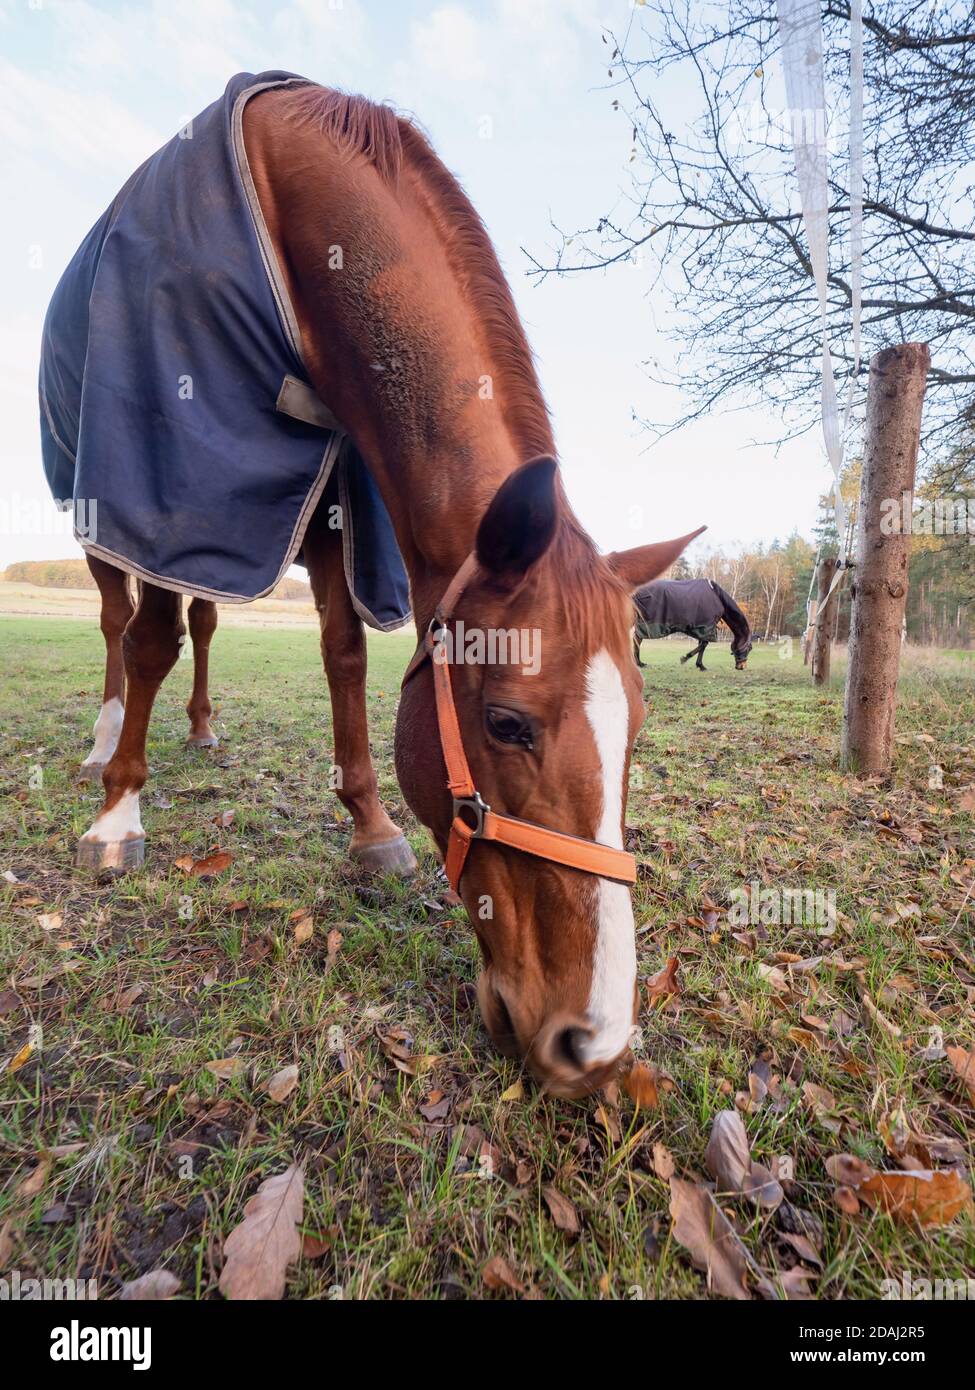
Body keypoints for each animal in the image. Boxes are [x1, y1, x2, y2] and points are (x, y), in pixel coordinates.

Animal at [41, 72, 704, 1097]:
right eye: (505, 724)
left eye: (635, 725)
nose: (592, 1044)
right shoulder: (174, 480)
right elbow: (149, 641)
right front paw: (117, 814)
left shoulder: (340, 495)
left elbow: (344, 655)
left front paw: (370, 827)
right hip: (109, 519)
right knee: (124, 627)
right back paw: (107, 743)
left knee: (202, 624)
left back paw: (201, 729)